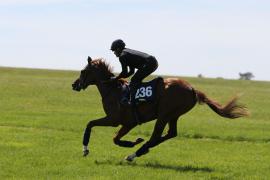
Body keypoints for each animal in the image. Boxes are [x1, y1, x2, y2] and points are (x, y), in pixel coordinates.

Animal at [71, 56, 249, 162]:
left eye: (83, 71)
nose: (74, 84)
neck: (113, 89)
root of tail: (192, 89)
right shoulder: (128, 123)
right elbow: (111, 136)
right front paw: (133, 142)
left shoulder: (116, 120)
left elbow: (93, 126)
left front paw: (85, 150)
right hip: (173, 115)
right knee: (171, 133)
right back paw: (142, 150)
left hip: (164, 115)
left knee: (156, 135)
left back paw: (134, 154)